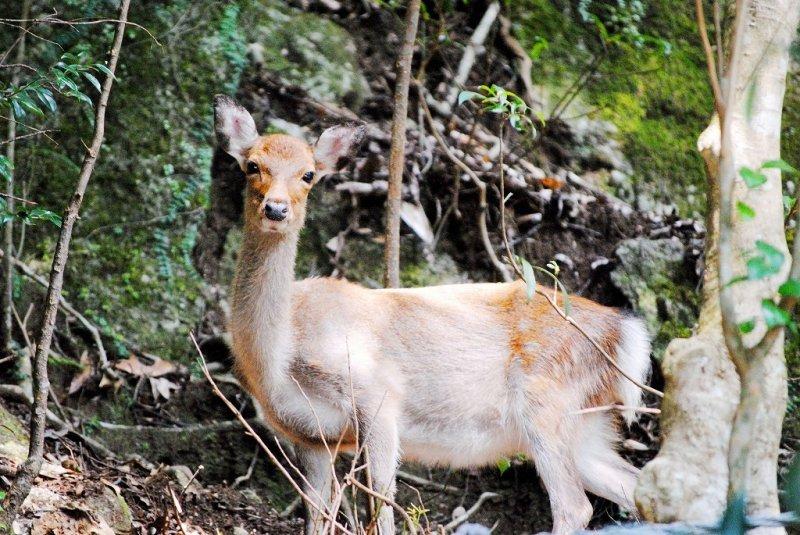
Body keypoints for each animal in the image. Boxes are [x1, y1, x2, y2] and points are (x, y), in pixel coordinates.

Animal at [216, 96, 652, 535]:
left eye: (308, 174)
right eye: (252, 164)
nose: (275, 209)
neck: (280, 355)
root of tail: (623, 329)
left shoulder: (377, 393)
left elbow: (382, 502)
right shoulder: (309, 437)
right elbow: (318, 515)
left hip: (546, 398)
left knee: (575, 506)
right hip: (586, 424)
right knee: (635, 486)